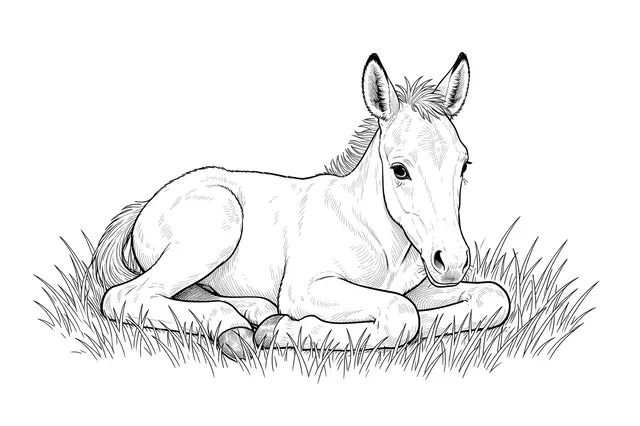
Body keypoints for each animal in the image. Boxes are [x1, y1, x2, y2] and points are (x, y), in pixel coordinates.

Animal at [90, 52, 510, 359]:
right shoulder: (306, 288)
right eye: (400, 169)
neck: (378, 238)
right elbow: (402, 315)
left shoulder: (419, 288)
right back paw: (237, 328)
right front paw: (286, 330)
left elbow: (491, 298)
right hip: (218, 227)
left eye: (464, 164)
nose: (451, 262)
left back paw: (254, 313)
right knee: (127, 297)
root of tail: (144, 207)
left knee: (181, 293)